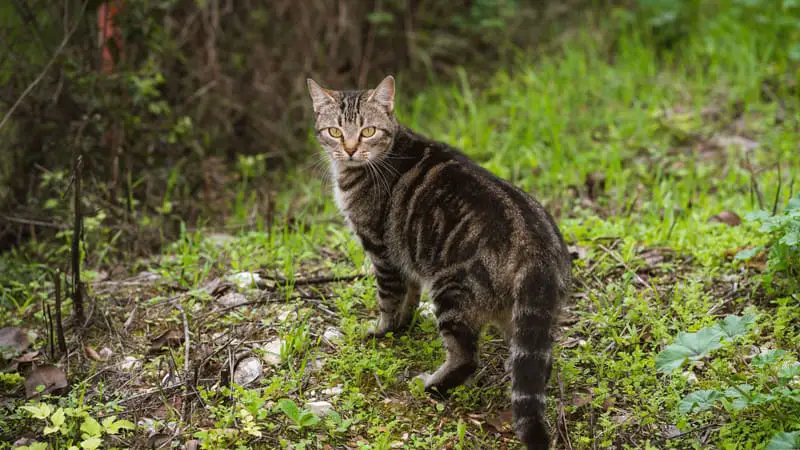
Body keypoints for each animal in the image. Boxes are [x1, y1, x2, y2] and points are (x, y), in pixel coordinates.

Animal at [304, 75, 568, 448]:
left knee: (466, 357)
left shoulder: (381, 250)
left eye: (368, 131)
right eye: (335, 131)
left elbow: (388, 299)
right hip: (518, 311)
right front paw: (403, 324)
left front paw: (382, 331)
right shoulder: (406, 256)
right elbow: (408, 295)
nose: (352, 148)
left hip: (450, 291)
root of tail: (536, 244)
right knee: (537, 360)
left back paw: (431, 384)